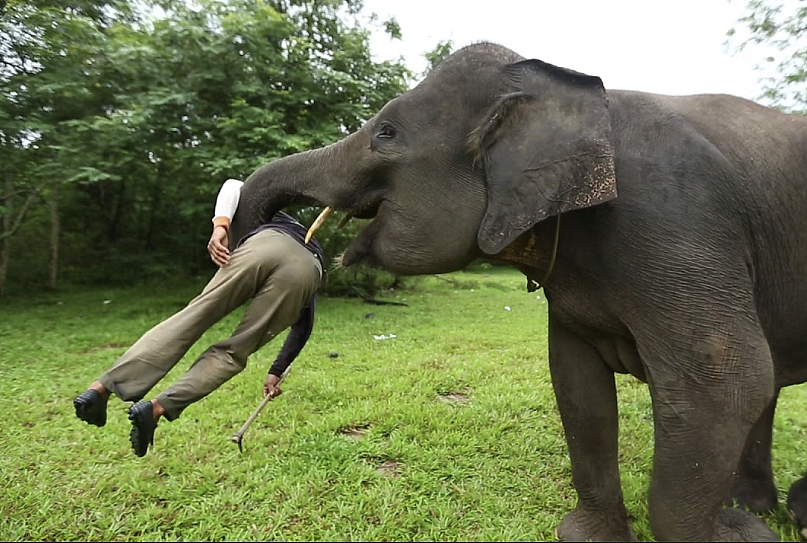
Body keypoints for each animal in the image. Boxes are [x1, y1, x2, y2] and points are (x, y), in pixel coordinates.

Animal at [228, 42, 807, 541]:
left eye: (386, 133)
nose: (293, 237)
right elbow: (576, 381)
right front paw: (590, 536)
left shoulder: (675, 217)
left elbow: (726, 378)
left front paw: (734, 533)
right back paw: (758, 507)